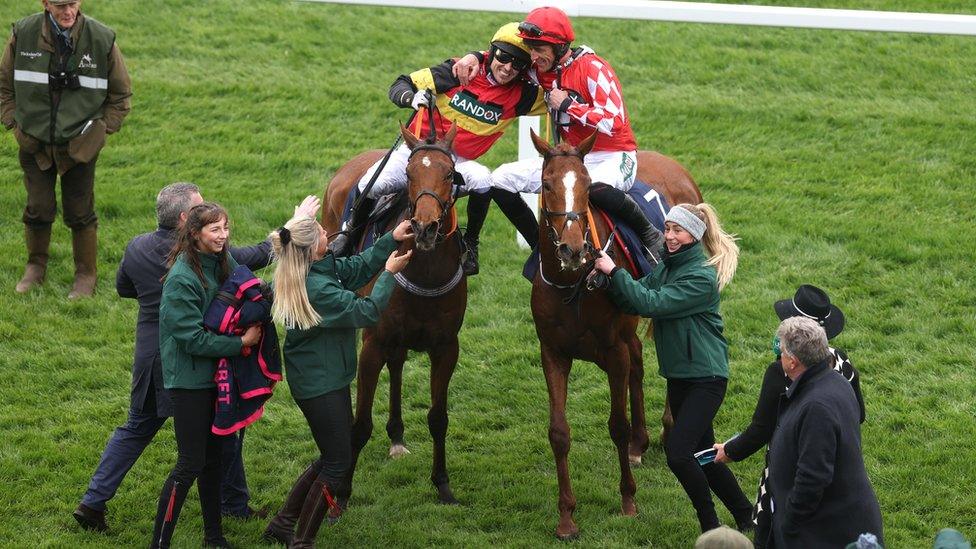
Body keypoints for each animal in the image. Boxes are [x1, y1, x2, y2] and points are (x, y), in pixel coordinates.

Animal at [322, 122, 468, 504]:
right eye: (409, 173)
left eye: (450, 174)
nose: (425, 227)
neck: (425, 270)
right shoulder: (372, 343)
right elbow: (360, 423)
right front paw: (342, 492)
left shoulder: (446, 347)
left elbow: (438, 418)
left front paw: (442, 483)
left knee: (399, 363)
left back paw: (397, 436)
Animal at [528, 130, 700, 540]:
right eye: (546, 184)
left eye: (587, 184)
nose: (572, 249)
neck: (573, 284)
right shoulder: (553, 352)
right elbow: (559, 432)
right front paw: (566, 518)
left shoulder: (613, 350)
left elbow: (617, 426)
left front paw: (628, 502)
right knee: (639, 363)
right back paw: (642, 441)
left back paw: (669, 428)